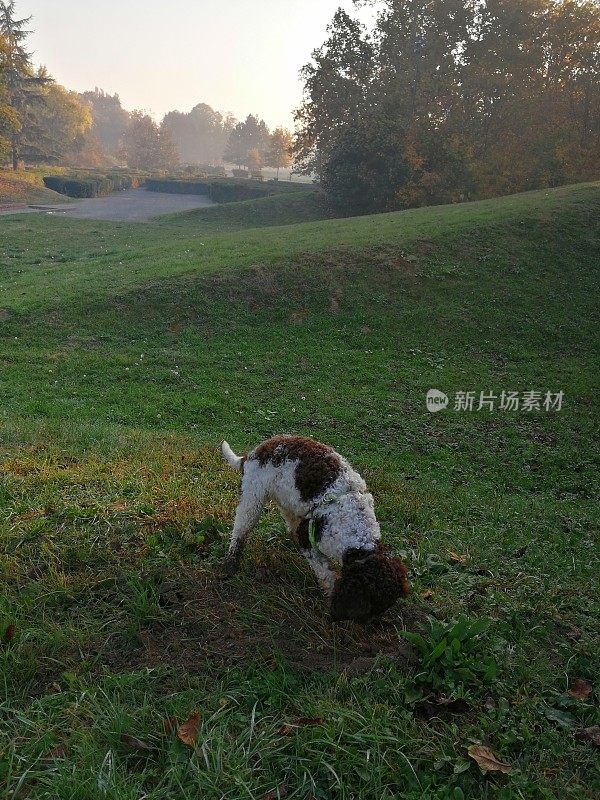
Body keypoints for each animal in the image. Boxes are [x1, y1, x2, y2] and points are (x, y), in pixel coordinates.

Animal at [221, 434, 412, 620]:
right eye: (369, 608)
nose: (371, 625)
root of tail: (253, 453)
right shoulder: (309, 538)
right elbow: (326, 575)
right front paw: (330, 596)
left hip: (288, 501)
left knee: (290, 524)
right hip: (253, 498)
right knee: (240, 531)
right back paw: (231, 561)